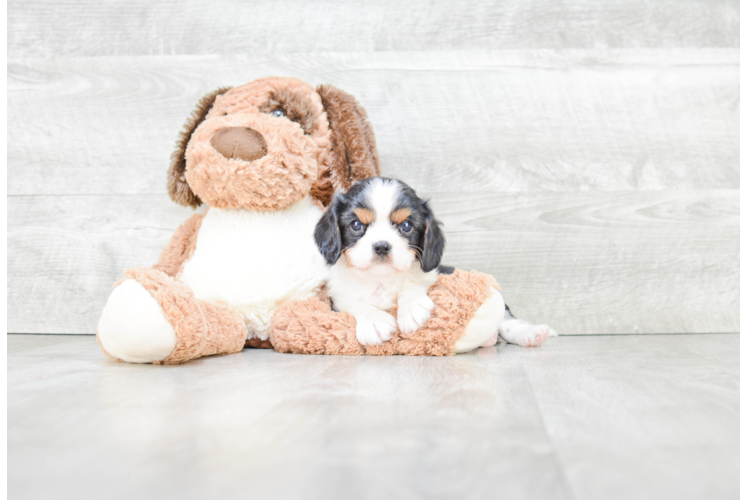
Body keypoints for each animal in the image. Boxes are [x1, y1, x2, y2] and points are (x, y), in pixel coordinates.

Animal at [312, 178, 448, 346]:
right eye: (356, 225)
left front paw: (411, 305)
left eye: (406, 225)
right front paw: (374, 319)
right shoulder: (339, 295)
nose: (382, 246)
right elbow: (353, 300)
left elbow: (414, 283)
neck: (380, 280)